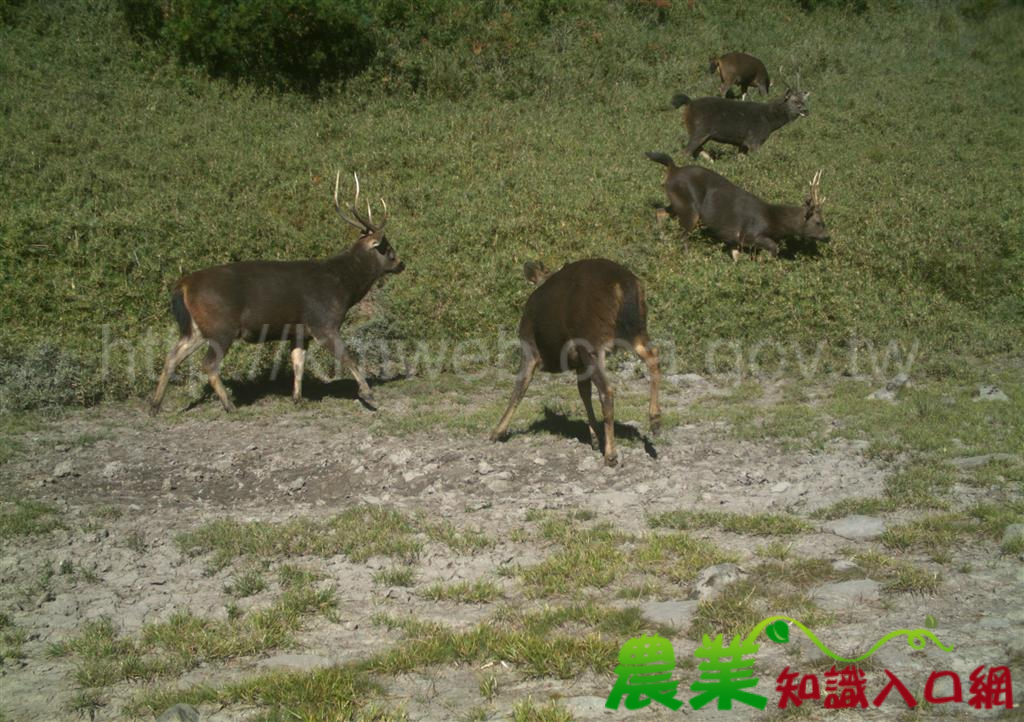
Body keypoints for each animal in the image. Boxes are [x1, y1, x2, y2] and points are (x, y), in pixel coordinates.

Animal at [149, 171, 405, 413]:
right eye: (387, 248)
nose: (402, 264)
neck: (344, 287)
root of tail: (182, 286)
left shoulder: (299, 331)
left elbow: (298, 362)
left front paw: (297, 398)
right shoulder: (324, 323)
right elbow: (347, 356)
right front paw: (368, 393)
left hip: (196, 328)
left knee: (172, 356)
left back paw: (154, 406)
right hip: (222, 326)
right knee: (208, 364)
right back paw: (229, 405)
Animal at [489, 259, 663, 466]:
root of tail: (622, 283)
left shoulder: (529, 347)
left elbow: (519, 388)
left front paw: (497, 432)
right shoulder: (579, 363)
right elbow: (584, 393)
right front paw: (594, 437)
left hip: (590, 341)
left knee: (607, 389)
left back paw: (611, 454)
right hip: (635, 329)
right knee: (653, 356)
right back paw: (655, 421)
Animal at [647, 151, 831, 262]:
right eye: (818, 222)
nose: (828, 237)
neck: (773, 221)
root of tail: (672, 170)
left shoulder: (733, 240)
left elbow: (736, 257)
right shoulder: (748, 234)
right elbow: (774, 247)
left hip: (677, 203)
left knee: (659, 212)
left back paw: (662, 239)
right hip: (690, 208)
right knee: (682, 235)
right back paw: (688, 257)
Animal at [671, 87, 806, 158]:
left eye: (804, 101)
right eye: (795, 102)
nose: (806, 111)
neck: (770, 122)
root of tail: (689, 104)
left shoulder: (743, 143)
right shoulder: (754, 140)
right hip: (700, 130)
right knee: (685, 151)